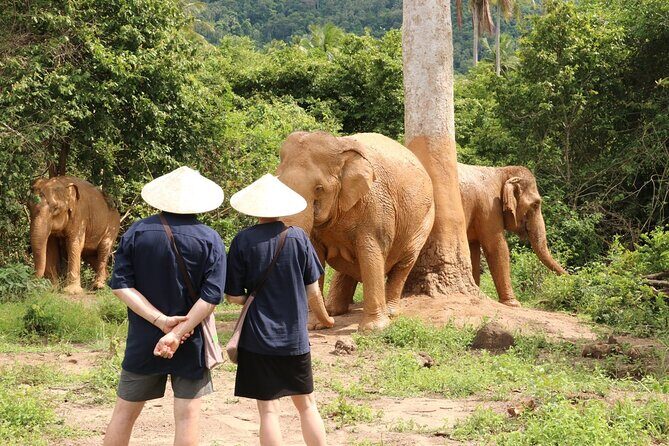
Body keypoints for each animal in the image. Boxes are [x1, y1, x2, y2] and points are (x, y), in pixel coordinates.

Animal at [277, 131, 435, 331]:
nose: (331, 324)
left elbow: (370, 253)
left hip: (423, 222)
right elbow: (315, 256)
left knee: (403, 264)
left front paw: (373, 329)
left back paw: (390, 313)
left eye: (319, 189)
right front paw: (312, 326)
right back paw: (334, 310)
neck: (340, 149)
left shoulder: (376, 207)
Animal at [458, 163, 567, 307]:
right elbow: (496, 246)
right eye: (536, 204)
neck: (501, 171)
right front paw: (513, 303)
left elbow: (473, 249)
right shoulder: (490, 208)